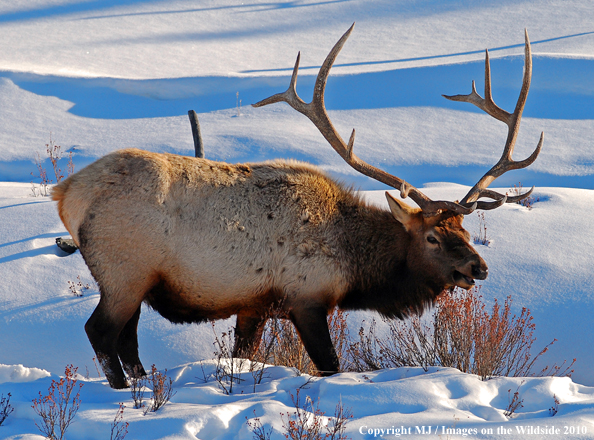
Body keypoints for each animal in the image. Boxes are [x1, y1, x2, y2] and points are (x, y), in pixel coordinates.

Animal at [52, 24, 540, 388]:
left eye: (466, 231)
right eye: (433, 237)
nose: (479, 267)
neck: (355, 266)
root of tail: (66, 192)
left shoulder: (253, 303)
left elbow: (243, 356)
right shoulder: (306, 297)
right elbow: (330, 365)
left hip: (135, 281)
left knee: (127, 340)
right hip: (124, 270)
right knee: (100, 332)